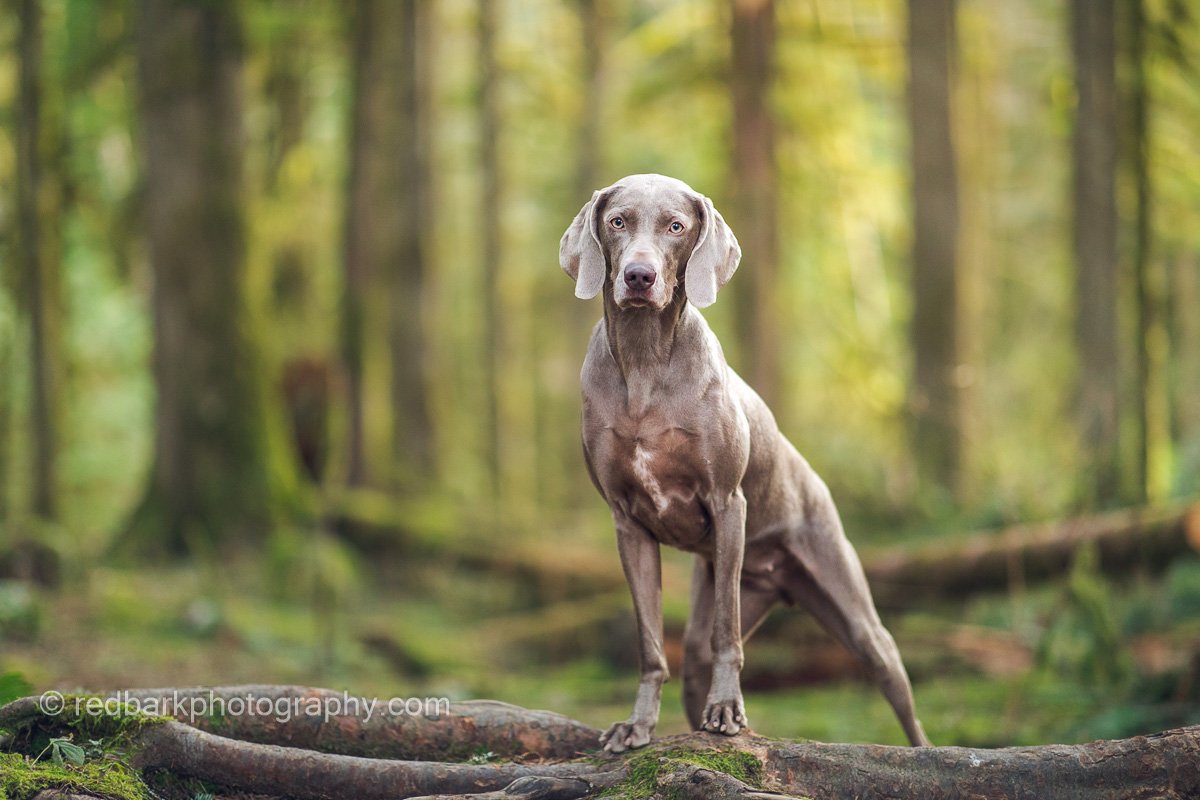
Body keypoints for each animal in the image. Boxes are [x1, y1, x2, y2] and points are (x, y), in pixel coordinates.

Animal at [556, 172, 931, 753]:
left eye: (676, 226)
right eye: (617, 221)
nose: (639, 276)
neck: (644, 362)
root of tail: (777, 581)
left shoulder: (728, 502)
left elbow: (726, 632)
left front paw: (728, 710)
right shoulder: (627, 524)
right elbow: (650, 643)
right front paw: (637, 725)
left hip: (853, 610)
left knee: (897, 689)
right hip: (713, 606)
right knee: (693, 657)